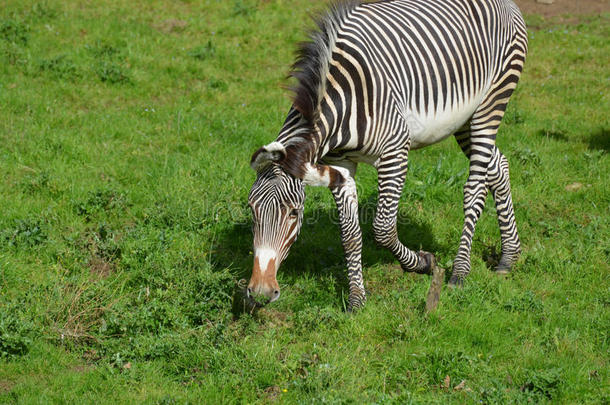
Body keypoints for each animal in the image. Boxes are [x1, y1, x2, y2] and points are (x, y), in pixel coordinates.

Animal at [245, 0, 524, 310]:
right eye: (252, 210)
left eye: (294, 212)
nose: (260, 292)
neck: (339, 101)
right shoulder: (341, 165)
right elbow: (350, 235)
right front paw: (357, 300)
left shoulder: (395, 152)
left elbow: (383, 228)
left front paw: (422, 263)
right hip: (464, 120)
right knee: (498, 165)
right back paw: (508, 256)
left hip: (491, 103)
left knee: (475, 187)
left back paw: (461, 271)